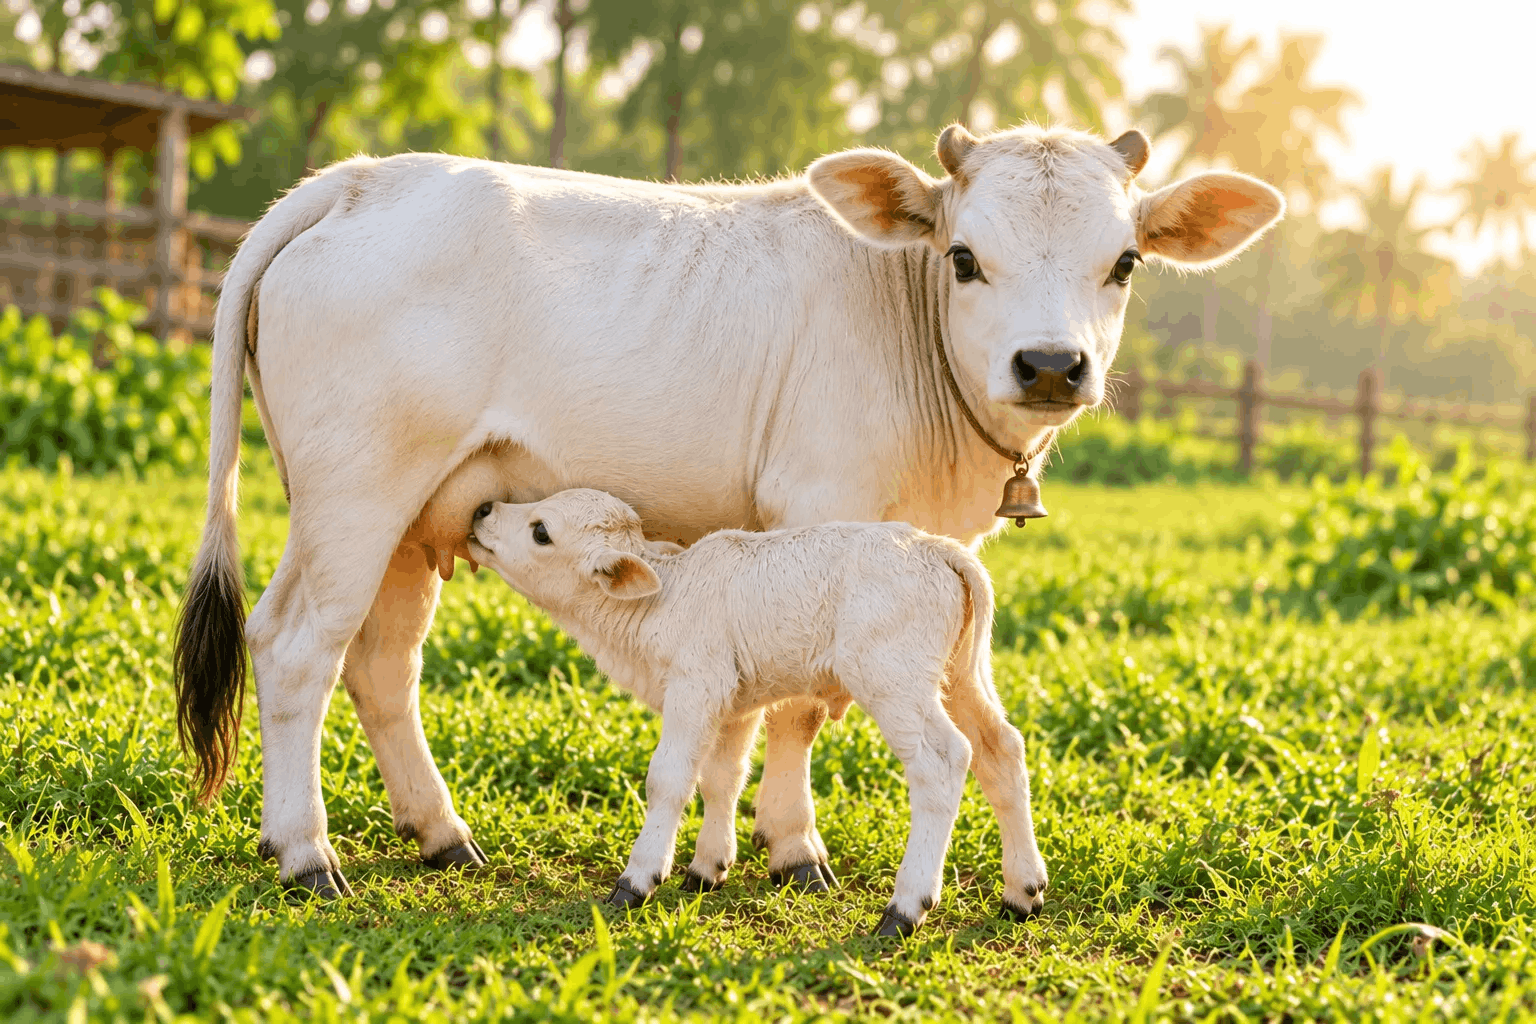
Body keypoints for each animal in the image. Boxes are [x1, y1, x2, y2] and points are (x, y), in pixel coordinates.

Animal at [467, 489, 1039, 935]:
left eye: (541, 531)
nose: (483, 509)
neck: (662, 601)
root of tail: (938, 548)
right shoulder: (734, 701)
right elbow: (722, 777)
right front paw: (707, 869)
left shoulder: (696, 685)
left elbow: (668, 779)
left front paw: (637, 881)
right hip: (959, 676)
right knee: (1001, 750)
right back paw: (1023, 892)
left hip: (893, 680)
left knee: (943, 763)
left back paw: (905, 909)